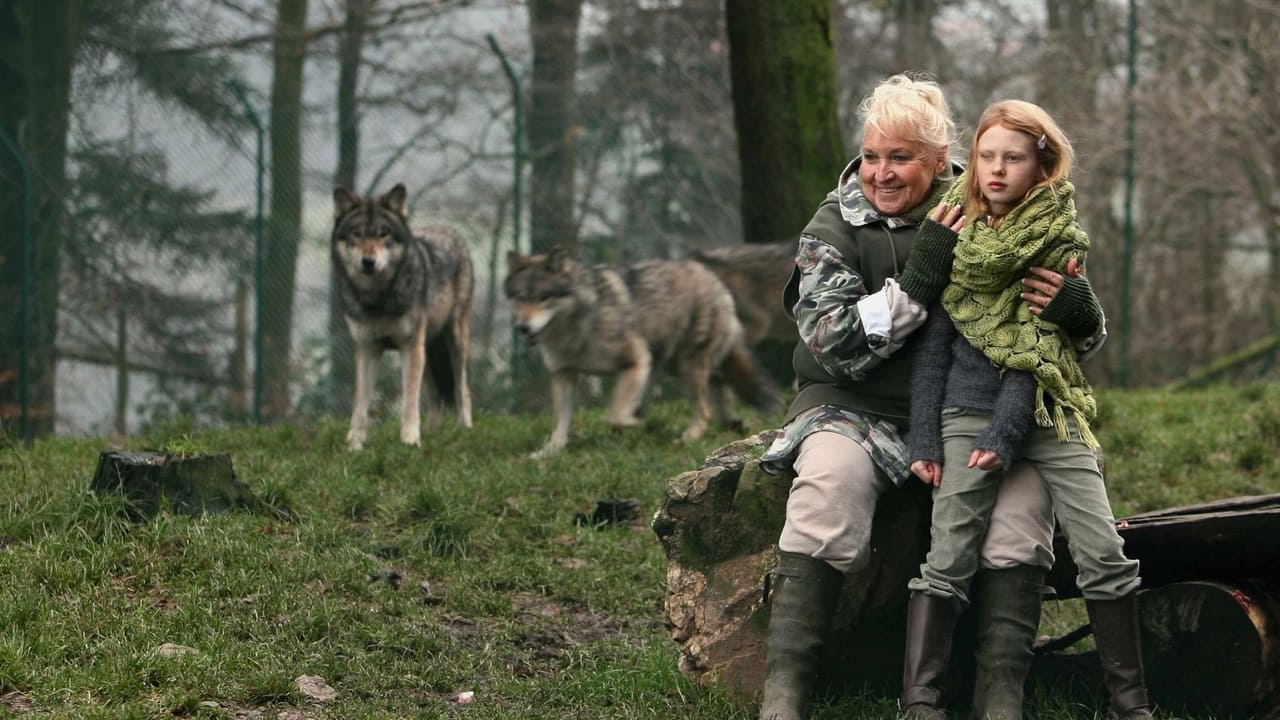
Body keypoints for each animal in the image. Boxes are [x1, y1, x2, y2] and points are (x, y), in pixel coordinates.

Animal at [332, 181, 473, 445]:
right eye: (357, 233)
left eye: (383, 233)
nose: (368, 261)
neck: (377, 298)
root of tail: (449, 230)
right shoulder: (367, 348)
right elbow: (360, 403)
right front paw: (355, 443)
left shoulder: (410, 347)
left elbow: (409, 400)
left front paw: (409, 441)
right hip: (427, 351)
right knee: (434, 395)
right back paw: (432, 431)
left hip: (454, 341)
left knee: (462, 388)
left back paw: (463, 429)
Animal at [501, 244, 778, 453]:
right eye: (521, 298)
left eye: (543, 298)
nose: (522, 328)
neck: (581, 322)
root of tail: (712, 277)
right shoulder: (563, 374)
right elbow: (560, 421)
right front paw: (549, 452)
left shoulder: (636, 360)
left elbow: (615, 414)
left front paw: (636, 423)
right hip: (678, 365)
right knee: (721, 385)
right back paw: (731, 422)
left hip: (687, 366)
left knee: (706, 407)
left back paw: (688, 437)